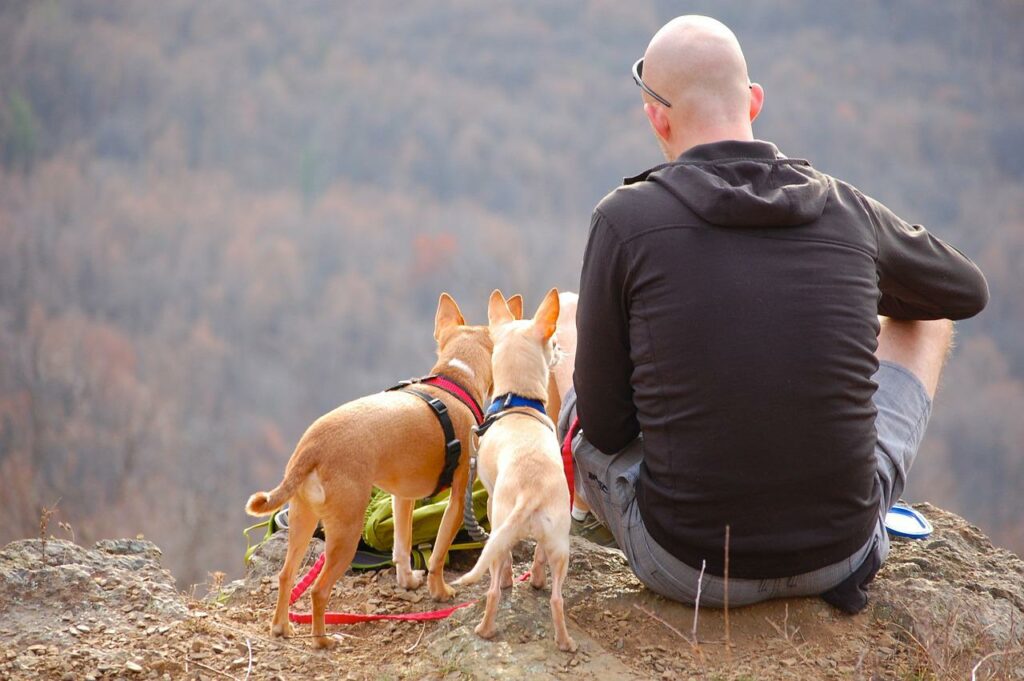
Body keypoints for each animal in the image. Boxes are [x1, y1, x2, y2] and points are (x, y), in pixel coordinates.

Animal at [243, 292, 491, 647]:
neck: (454, 381)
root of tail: (312, 447)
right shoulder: (459, 498)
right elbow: (439, 553)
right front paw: (440, 591)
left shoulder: (403, 498)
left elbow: (402, 544)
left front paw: (408, 581)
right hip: (345, 533)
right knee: (318, 591)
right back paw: (323, 640)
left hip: (304, 519)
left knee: (286, 574)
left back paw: (282, 628)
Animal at [456, 288, 577, 651]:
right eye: (554, 343)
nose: (561, 350)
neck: (517, 401)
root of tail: (530, 492)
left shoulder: (491, 504)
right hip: (559, 543)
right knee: (555, 596)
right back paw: (564, 640)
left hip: (500, 529)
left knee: (495, 587)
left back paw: (485, 629)